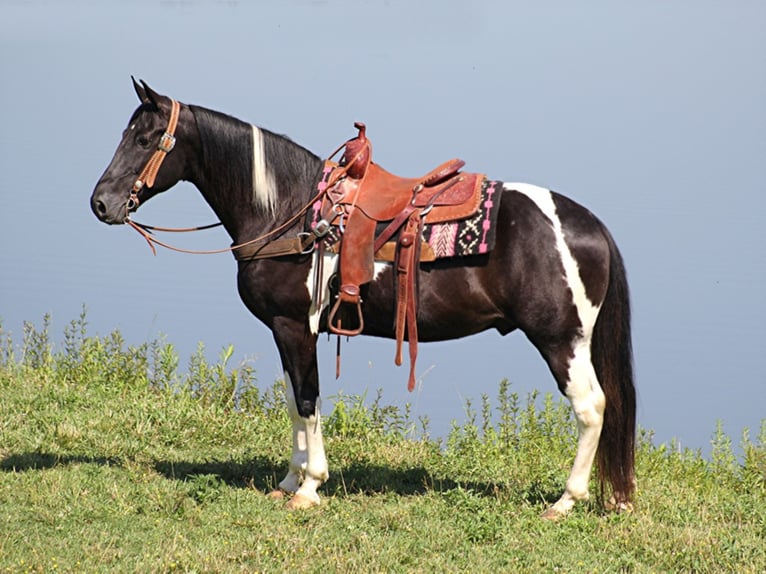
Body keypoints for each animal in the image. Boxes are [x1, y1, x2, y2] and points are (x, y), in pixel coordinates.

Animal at [90, 79, 640, 520]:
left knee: (592, 408)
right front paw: (288, 480)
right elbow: (292, 398)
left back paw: (566, 501)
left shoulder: (295, 324)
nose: (100, 203)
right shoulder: (286, 330)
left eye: (144, 139)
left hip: (562, 341)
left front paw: (309, 487)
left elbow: (308, 399)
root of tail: (589, 225)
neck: (289, 211)